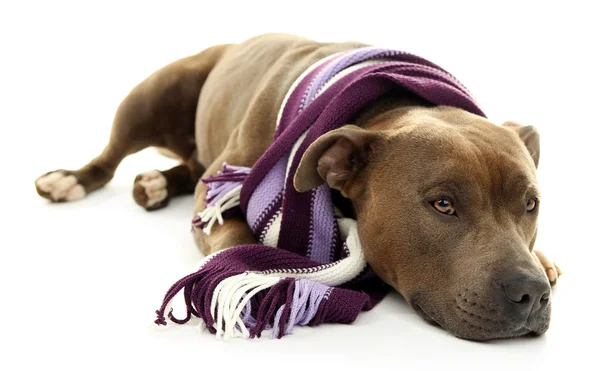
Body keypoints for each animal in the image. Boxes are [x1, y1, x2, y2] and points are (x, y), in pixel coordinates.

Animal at [35, 33, 564, 342]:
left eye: (531, 204)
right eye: (443, 204)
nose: (531, 293)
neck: (384, 108)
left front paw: (543, 259)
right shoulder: (220, 189)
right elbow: (230, 228)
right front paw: (244, 273)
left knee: (186, 165)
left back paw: (156, 185)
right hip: (153, 93)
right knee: (110, 158)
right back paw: (71, 180)